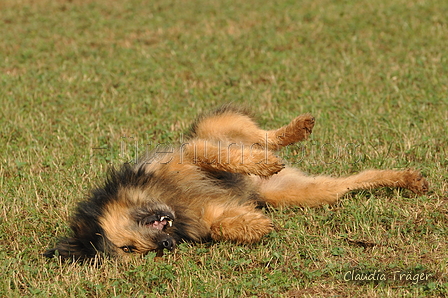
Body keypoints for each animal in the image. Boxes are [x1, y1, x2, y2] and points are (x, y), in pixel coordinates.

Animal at [43, 106, 428, 260]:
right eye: (131, 251)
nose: (167, 244)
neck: (165, 200)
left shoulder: (189, 154)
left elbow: (218, 157)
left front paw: (260, 163)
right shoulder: (207, 213)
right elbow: (221, 224)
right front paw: (254, 225)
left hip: (216, 124)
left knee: (262, 138)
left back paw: (290, 136)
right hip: (301, 193)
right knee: (351, 182)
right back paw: (406, 180)